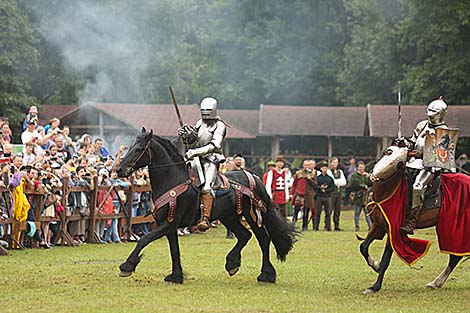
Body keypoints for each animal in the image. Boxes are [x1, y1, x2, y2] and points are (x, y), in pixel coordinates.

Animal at [115, 127, 296, 282]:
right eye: (130, 147)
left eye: (138, 149)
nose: (119, 169)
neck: (173, 179)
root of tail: (255, 178)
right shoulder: (170, 226)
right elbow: (174, 250)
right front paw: (176, 276)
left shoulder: (168, 224)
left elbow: (144, 239)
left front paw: (127, 266)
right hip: (229, 217)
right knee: (245, 235)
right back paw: (232, 264)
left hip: (251, 216)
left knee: (263, 240)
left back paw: (266, 275)